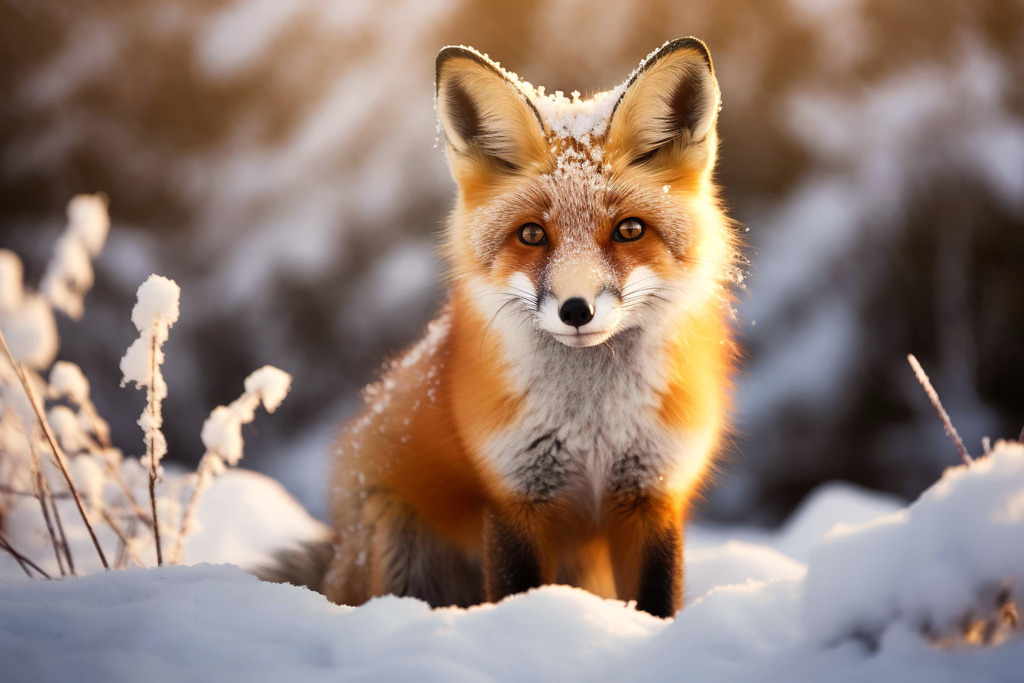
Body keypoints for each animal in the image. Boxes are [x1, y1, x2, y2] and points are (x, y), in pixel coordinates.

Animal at [264, 37, 739, 619]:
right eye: (532, 234)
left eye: (629, 230)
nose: (576, 310)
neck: (593, 425)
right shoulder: (516, 496)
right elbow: (519, 591)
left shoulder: (652, 492)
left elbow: (655, 601)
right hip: (399, 542)